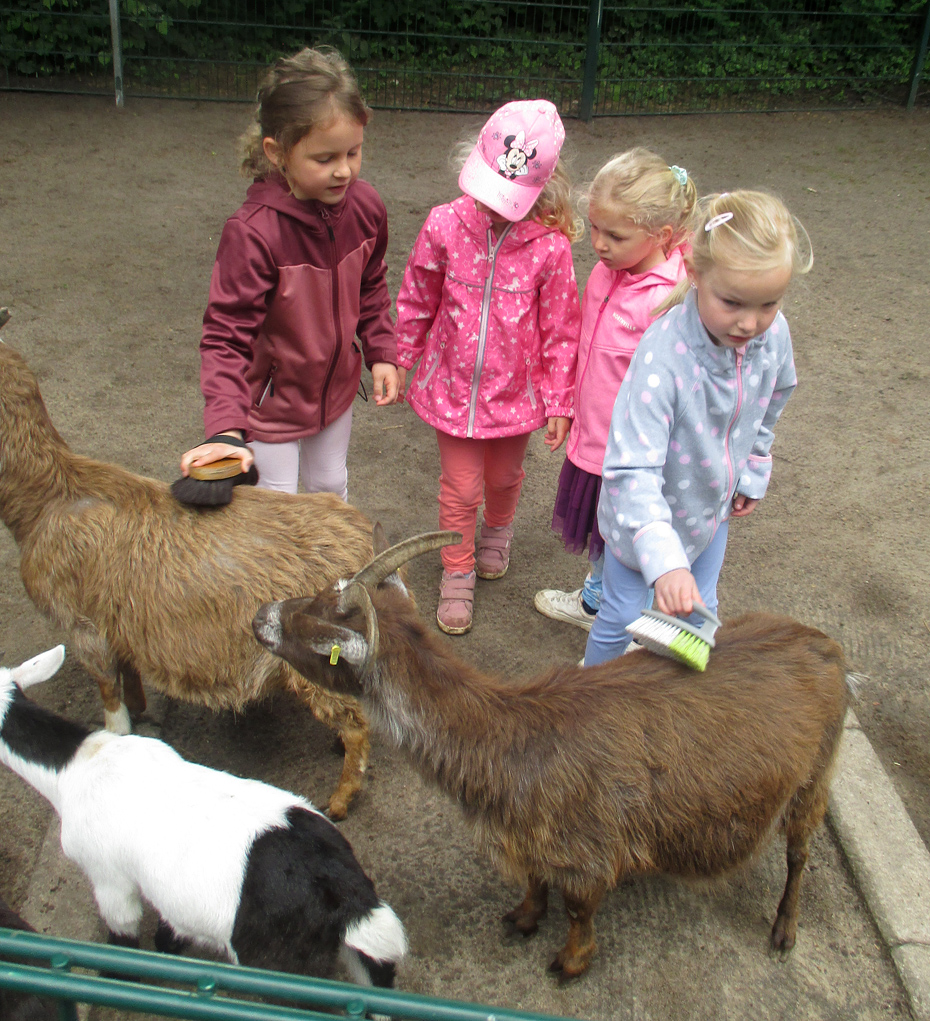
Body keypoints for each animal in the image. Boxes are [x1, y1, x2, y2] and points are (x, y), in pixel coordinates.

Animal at [0, 338, 377, 816]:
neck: (50, 497)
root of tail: (366, 542)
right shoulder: (117, 620)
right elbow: (128, 672)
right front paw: (142, 707)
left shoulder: (82, 626)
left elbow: (109, 697)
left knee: (357, 725)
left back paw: (341, 799)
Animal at [0, 645, 408, 988]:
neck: (77, 765)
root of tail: (348, 895)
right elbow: (170, 927)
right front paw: (169, 949)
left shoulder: (109, 878)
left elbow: (122, 938)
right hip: (364, 955)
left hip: (282, 964)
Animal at [251, 530, 853, 976]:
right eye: (316, 596)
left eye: (316, 629)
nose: (260, 616)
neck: (513, 738)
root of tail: (828, 647)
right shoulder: (530, 838)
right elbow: (535, 883)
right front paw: (522, 919)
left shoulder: (588, 852)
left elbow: (579, 909)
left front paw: (570, 962)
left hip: (815, 777)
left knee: (800, 852)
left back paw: (784, 930)